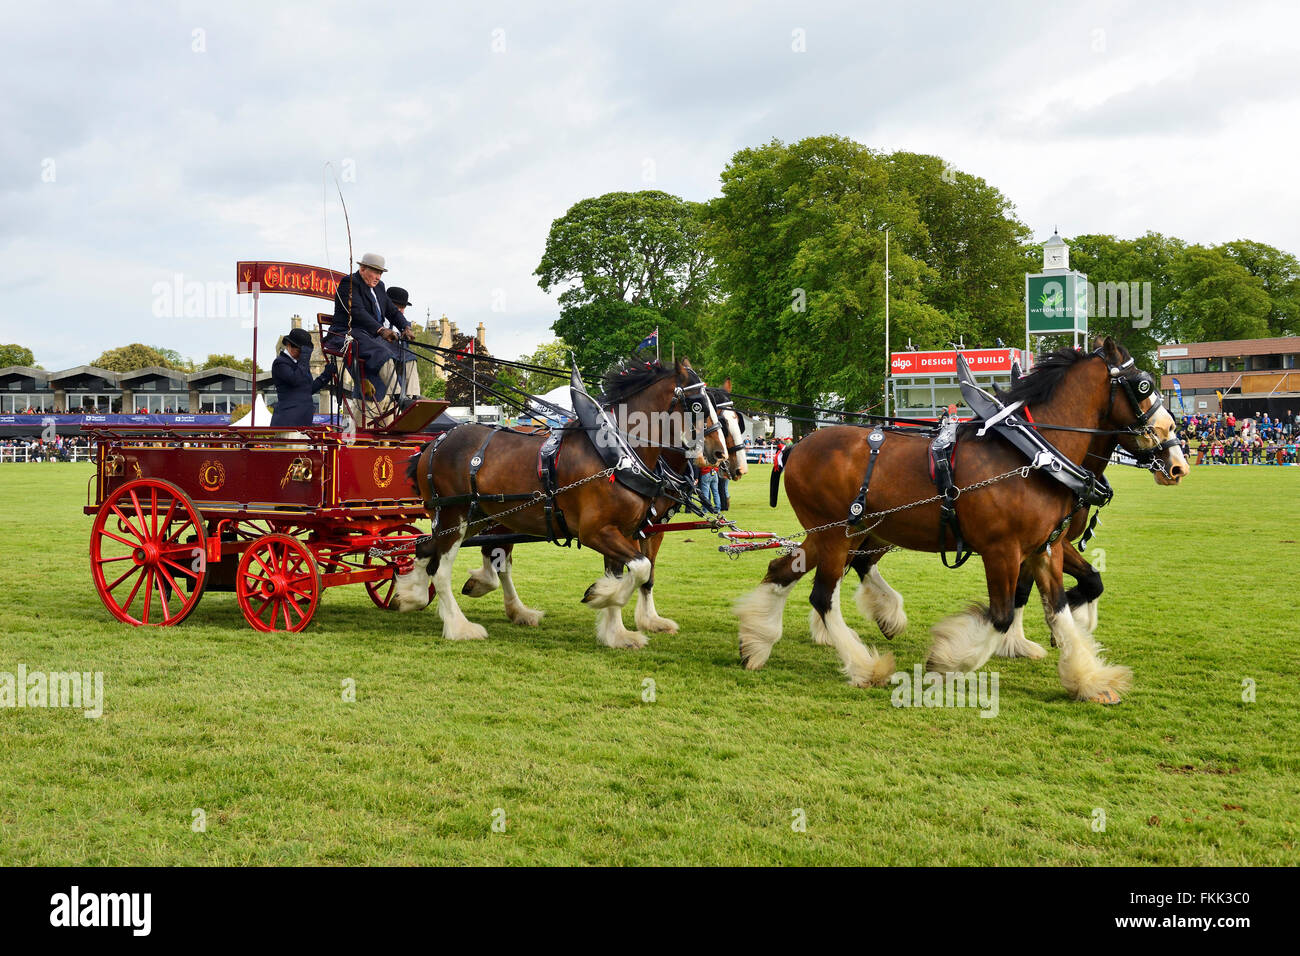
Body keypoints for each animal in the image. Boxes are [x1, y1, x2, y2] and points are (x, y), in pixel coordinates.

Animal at [457, 392, 748, 639]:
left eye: (738, 422)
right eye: (721, 420)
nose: (736, 467)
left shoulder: (651, 528)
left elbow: (647, 574)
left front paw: (648, 620)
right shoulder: (620, 527)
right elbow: (628, 570)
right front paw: (608, 605)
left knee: (498, 555)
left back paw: (512, 606)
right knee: (495, 554)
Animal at [743, 335, 1190, 702]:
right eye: (1143, 386)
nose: (1177, 457)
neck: (1035, 455)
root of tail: (795, 446)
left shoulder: (1044, 549)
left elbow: (1059, 607)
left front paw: (1087, 677)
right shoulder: (1002, 550)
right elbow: (1002, 613)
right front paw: (949, 662)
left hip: (843, 533)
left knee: (787, 570)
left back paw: (757, 641)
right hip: (838, 533)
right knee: (823, 595)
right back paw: (865, 665)